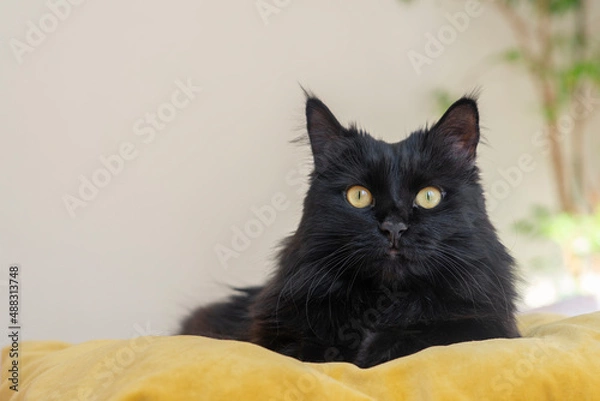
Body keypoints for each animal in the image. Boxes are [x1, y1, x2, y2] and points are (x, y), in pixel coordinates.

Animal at [179, 94, 520, 366]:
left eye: (428, 196)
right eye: (358, 196)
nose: (393, 227)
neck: (382, 305)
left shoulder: (490, 325)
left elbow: (434, 333)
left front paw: (378, 350)